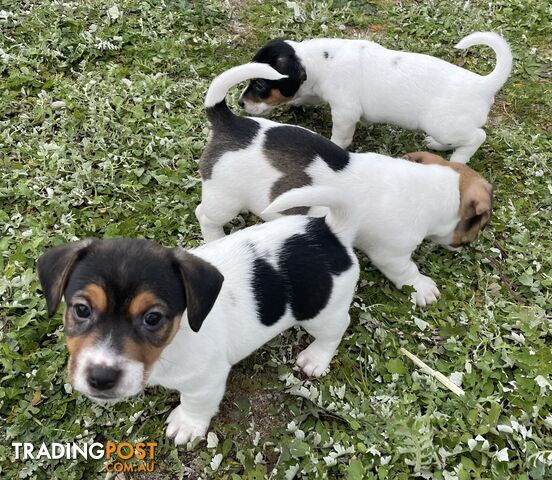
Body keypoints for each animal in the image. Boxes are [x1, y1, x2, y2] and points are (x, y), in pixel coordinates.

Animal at [37, 206, 358, 442]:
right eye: (81, 309)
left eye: (153, 318)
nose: (101, 378)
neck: (173, 340)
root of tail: (330, 232)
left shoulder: (206, 381)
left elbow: (195, 403)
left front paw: (187, 425)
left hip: (323, 313)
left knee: (337, 328)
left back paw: (316, 358)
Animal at [197, 63, 492, 306]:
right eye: (480, 223)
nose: (467, 244)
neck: (431, 188)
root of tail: (230, 123)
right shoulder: (391, 255)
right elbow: (407, 271)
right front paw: (422, 288)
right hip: (225, 199)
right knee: (205, 215)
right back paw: (215, 237)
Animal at [239, 32, 512, 163]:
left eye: (260, 84)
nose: (240, 103)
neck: (316, 60)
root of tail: (482, 85)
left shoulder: (345, 113)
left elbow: (339, 137)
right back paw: (436, 145)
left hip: (445, 125)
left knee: (476, 137)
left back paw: (459, 159)